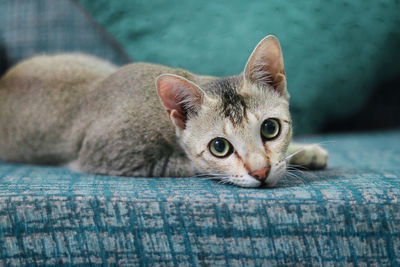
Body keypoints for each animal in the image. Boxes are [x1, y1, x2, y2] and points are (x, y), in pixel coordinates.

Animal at [0, 34, 326, 187]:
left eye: (271, 128)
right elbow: (192, 166)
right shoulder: (108, 156)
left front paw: (303, 152)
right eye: (219, 147)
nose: (261, 172)